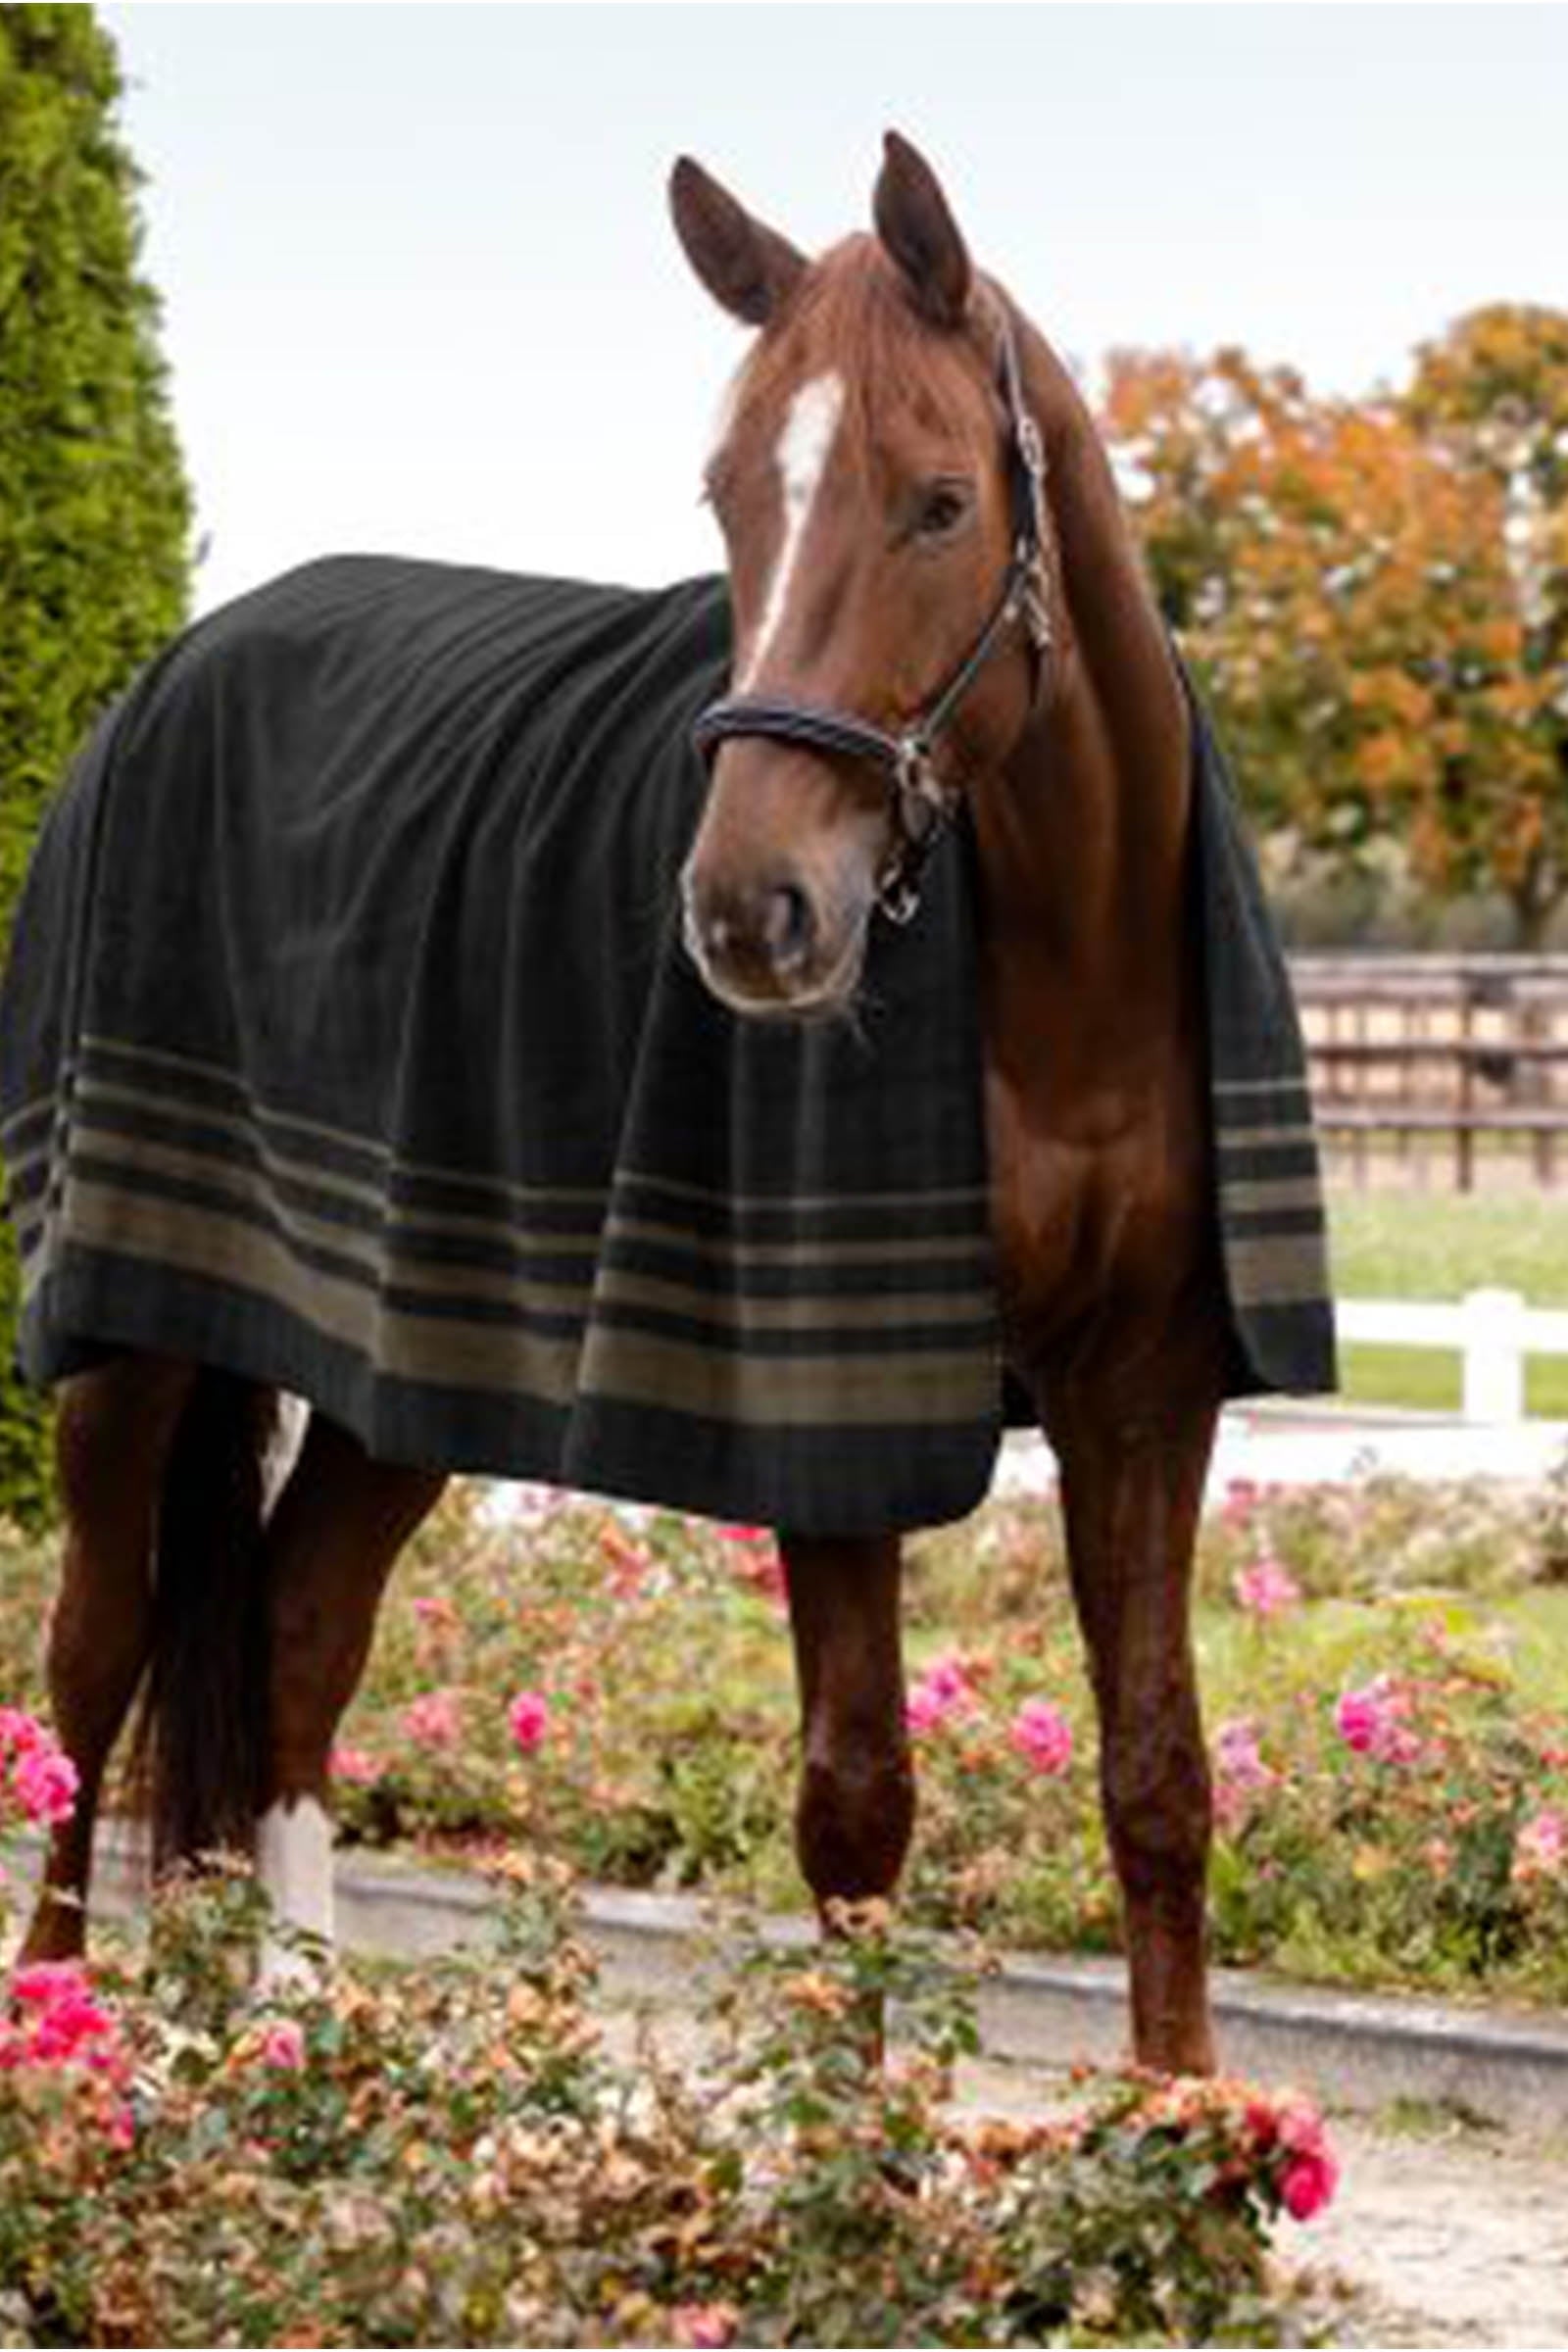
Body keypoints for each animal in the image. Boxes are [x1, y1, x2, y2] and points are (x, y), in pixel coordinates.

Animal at [5, 133, 1330, 2074]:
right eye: (726, 499)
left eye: (941, 503)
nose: (750, 913)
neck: (1062, 982)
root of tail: (181, 667)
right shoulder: (827, 1409)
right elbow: (857, 1800)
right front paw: (856, 2141)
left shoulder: (1147, 1387)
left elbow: (1157, 1777)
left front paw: (1185, 2126)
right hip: (130, 1338)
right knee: (91, 1656)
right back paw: (71, 2026)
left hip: (401, 1364)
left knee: (303, 1629)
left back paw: (304, 2023)